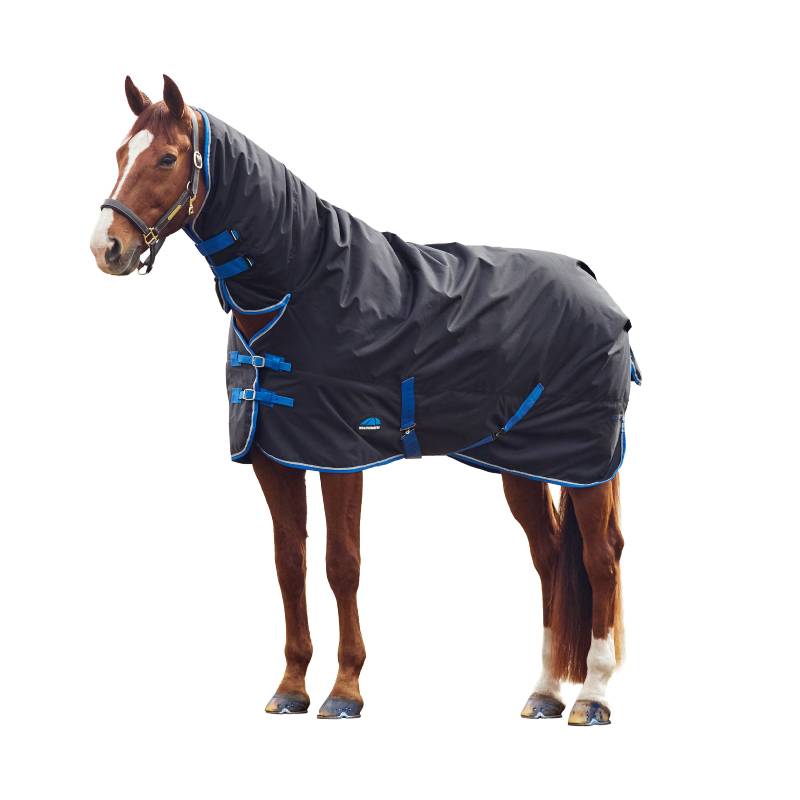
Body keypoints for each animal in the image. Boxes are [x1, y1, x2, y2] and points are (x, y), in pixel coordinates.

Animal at [90, 75, 635, 725]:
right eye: (120, 154)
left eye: (168, 158)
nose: (106, 247)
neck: (300, 285)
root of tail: (593, 283)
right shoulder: (275, 457)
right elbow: (290, 564)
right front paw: (291, 686)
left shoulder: (341, 454)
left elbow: (341, 564)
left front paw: (344, 691)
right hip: (523, 466)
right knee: (551, 557)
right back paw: (546, 692)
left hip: (587, 466)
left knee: (601, 559)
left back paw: (594, 697)